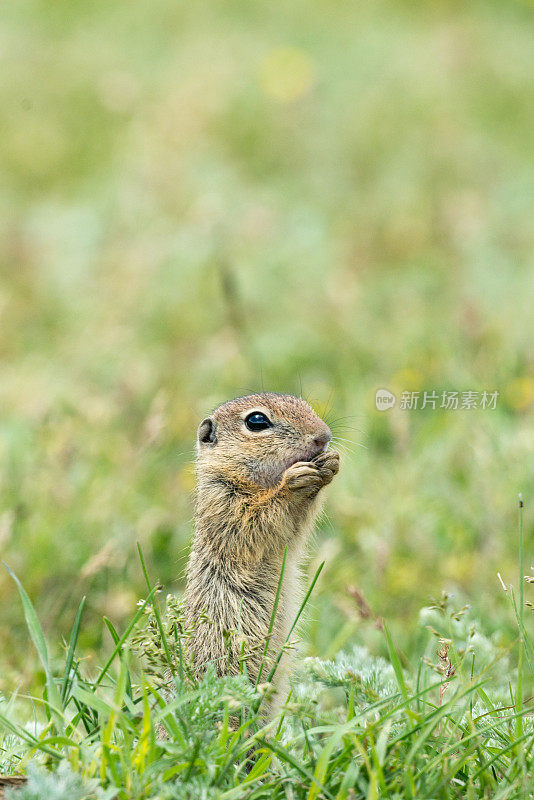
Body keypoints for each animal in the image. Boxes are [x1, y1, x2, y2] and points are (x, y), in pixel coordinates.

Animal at [184, 392, 342, 708]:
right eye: (256, 421)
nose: (324, 436)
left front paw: (331, 462)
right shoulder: (223, 502)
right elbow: (256, 522)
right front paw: (293, 483)